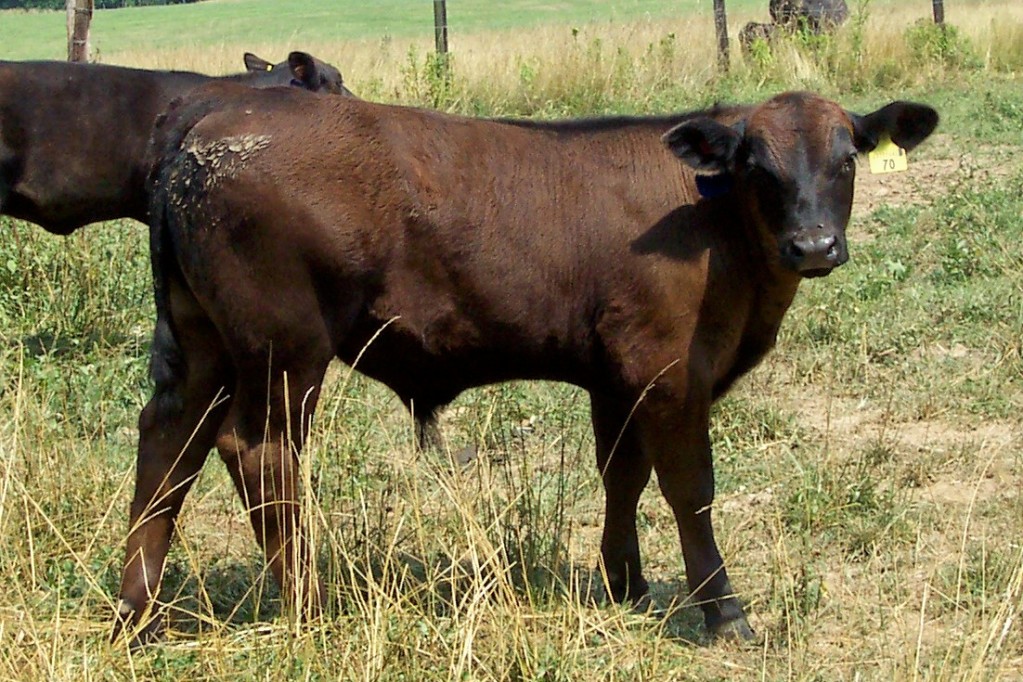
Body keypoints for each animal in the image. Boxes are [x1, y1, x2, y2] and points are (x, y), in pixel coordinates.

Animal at [116, 85, 937, 646]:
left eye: (845, 160)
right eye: (756, 168)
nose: (813, 245)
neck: (716, 226)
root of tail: (211, 114)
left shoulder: (617, 378)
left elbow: (622, 475)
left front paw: (626, 583)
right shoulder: (671, 370)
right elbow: (690, 491)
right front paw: (723, 610)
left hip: (203, 343)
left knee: (169, 443)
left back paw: (138, 611)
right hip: (283, 349)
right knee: (256, 451)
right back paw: (310, 606)